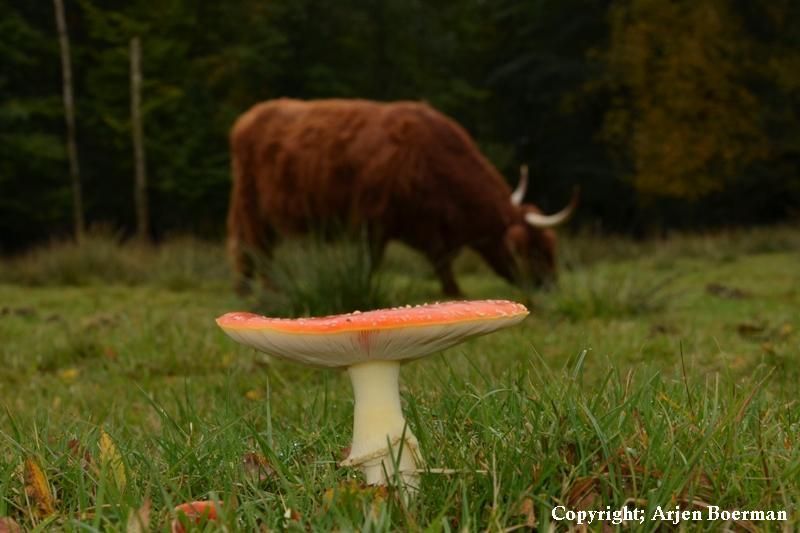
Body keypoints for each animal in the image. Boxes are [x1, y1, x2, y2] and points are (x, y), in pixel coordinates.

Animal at [225, 98, 576, 298]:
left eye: (553, 247)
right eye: (535, 251)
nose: (552, 286)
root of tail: (248, 117)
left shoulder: (427, 226)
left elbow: (440, 260)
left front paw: (452, 291)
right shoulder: (371, 223)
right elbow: (376, 262)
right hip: (252, 205)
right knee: (254, 248)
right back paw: (263, 292)